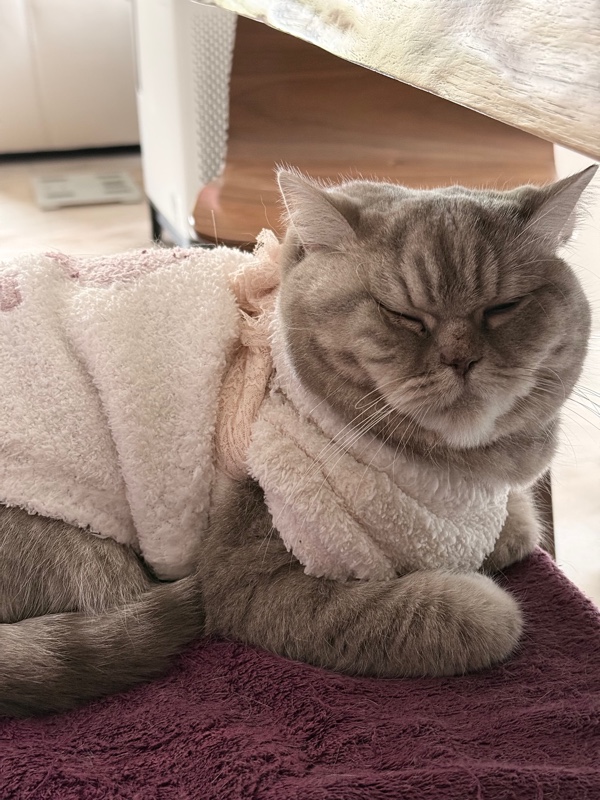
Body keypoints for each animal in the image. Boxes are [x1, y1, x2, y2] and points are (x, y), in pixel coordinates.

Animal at [0, 165, 595, 717]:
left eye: (504, 307)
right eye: (400, 314)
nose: (462, 360)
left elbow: (517, 526)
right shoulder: (249, 581)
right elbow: (444, 614)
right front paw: (484, 599)